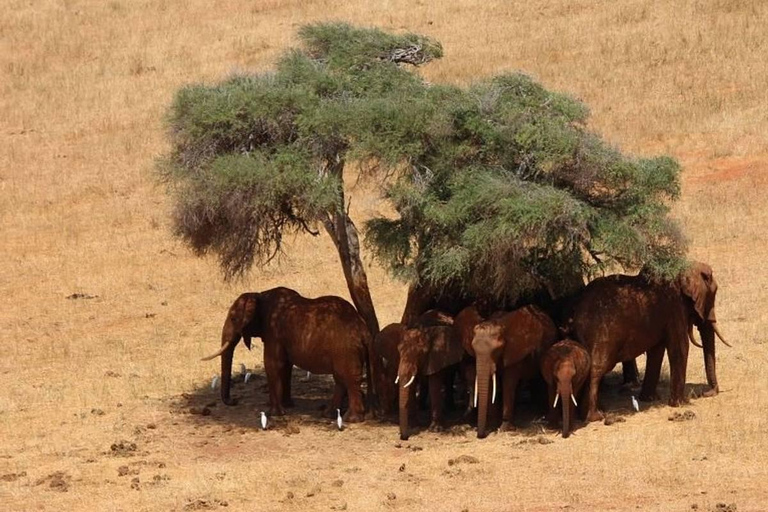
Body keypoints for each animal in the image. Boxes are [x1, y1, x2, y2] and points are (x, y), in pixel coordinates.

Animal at [202, 286, 374, 422]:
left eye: (233, 318)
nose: (234, 401)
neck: (259, 294)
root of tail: (364, 330)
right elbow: (285, 366)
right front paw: (287, 406)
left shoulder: (273, 331)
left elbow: (272, 364)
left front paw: (274, 413)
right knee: (340, 379)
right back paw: (329, 414)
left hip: (345, 350)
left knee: (349, 378)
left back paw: (351, 419)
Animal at [396, 312, 462, 440]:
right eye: (399, 351)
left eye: (420, 353)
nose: (403, 437)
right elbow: (412, 385)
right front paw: (414, 425)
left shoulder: (437, 356)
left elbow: (434, 385)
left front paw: (435, 430)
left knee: (449, 378)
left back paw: (449, 408)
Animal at [472, 306, 556, 438]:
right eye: (473, 349)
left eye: (496, 350)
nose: (481, 436)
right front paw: (492, 425)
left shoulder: (515, 351)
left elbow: (508, 383)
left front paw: (504, 428)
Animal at [568, 262, 732, 422]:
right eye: (712, 295)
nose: (706, 393)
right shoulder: (675, 307)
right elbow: (680, 347)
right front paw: (680, 403)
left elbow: (656, 351)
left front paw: (649, 399)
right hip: (602, 333)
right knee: (597, 368)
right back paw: (594, 417)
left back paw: (586, 415)